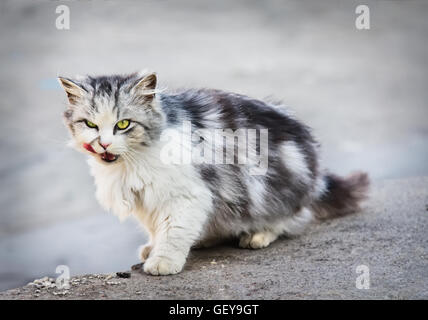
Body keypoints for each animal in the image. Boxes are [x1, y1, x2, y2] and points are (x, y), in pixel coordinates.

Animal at [58, 72, 370, 276]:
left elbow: (173, 231)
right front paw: (153, 248)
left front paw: (163, 261)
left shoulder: (188, 195)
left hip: (274, 192)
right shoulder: (147, 199)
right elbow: (156, 228)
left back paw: (258, 235)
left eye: (123, 124)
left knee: (293, 218)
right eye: (90, 124)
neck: (130, 163)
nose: (104, 144)